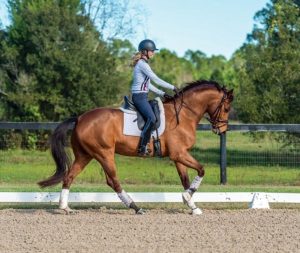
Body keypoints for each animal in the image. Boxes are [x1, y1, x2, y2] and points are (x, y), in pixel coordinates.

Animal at [38, 80, 234, 214]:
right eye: (226, 108)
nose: (222, 130)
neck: (184, 114)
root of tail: (80, 118)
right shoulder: (179, 154)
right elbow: (201, 169)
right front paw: (188, 199)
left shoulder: (179, 156)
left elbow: (186, 180)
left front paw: (192, 206)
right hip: (104, 153)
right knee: (113, 181)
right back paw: (136, 207)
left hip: (85, 155)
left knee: (69, 176)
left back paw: (65, 208)